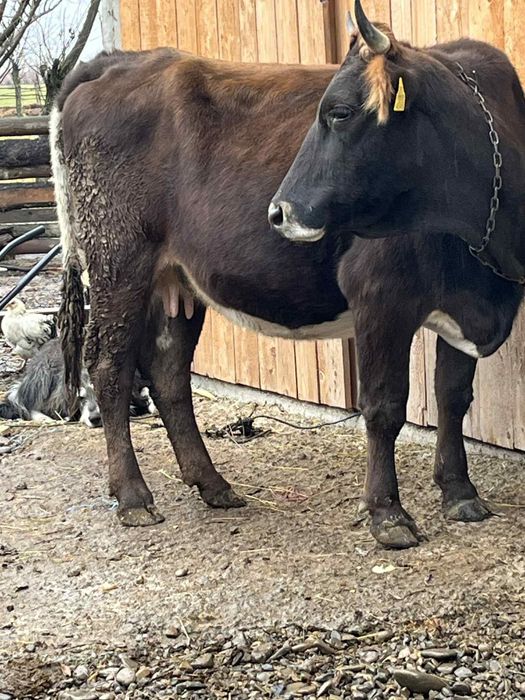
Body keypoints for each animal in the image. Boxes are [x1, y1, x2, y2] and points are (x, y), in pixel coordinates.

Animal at [52, 45, 522, 550]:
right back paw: (133, 496)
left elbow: (453, 397)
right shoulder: (381, 296)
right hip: (118, 264)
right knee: (109, 368)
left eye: (339, 113)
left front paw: (460, 492)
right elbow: (384, 406)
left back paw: (212, 484)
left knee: (169, 373)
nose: (280, 211)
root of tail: (117, 61)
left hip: (176, 281)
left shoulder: (465, 305)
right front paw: (387, 513)